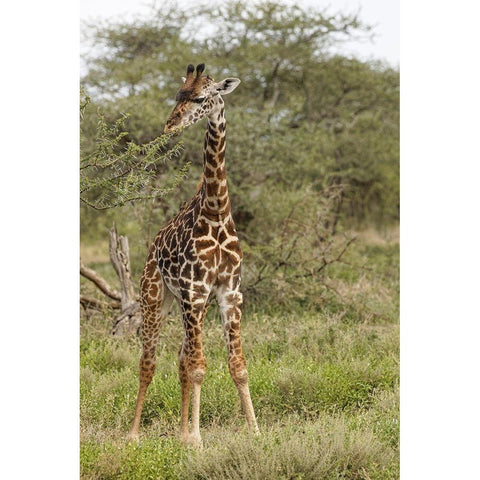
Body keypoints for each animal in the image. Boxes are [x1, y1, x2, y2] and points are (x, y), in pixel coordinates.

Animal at [126, 62, 258, 446]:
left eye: (201, 98)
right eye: (177, 95)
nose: (170, 125)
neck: (216, 211)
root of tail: (152, 245)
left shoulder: (229, 292)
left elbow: (237, 366)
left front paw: (255, 431)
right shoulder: (194, 291)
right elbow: (200, 367)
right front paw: (198, 440)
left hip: (183, 304)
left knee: (181, 359)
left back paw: (181, 432)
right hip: (155, 296)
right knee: (149, 361)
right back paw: (133, 435)